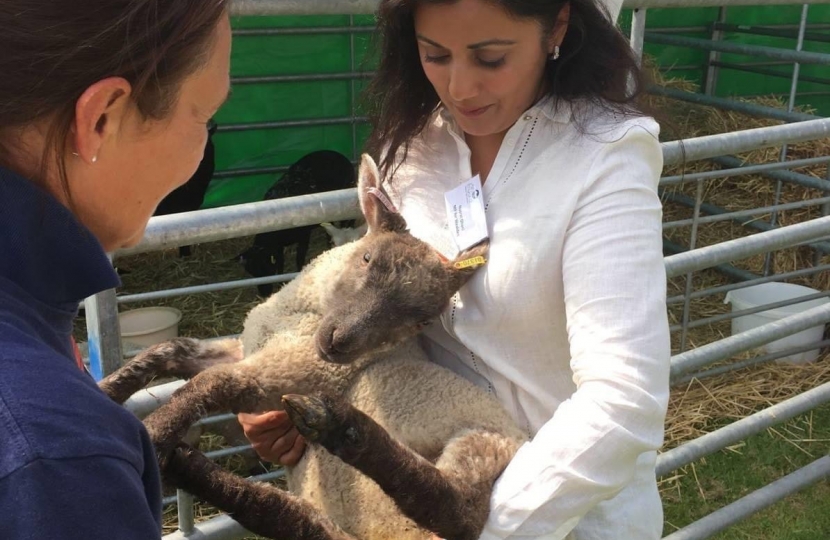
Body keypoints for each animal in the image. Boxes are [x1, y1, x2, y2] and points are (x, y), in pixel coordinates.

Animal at [237, 150, 360, 298]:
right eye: (252, 272)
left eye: (266, 267)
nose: (264, 294)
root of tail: (336, 153)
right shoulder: (278, 247)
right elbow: (281, 263)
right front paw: (281, 284)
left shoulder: (304, 237)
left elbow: (299, 259)